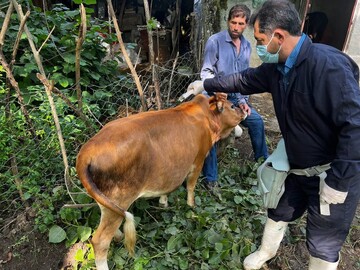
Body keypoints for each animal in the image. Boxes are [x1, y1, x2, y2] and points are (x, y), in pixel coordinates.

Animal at [75, 94, 245, 268]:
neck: (205, 115)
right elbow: (191, 186)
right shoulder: (198, 160)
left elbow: (167, 186)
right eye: (232, 106)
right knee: (100, 241)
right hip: (120, 197)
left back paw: (119, 236)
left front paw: (164, 202)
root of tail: (86, 152)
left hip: (106, 201)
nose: (243, 109)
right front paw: (191, 207)